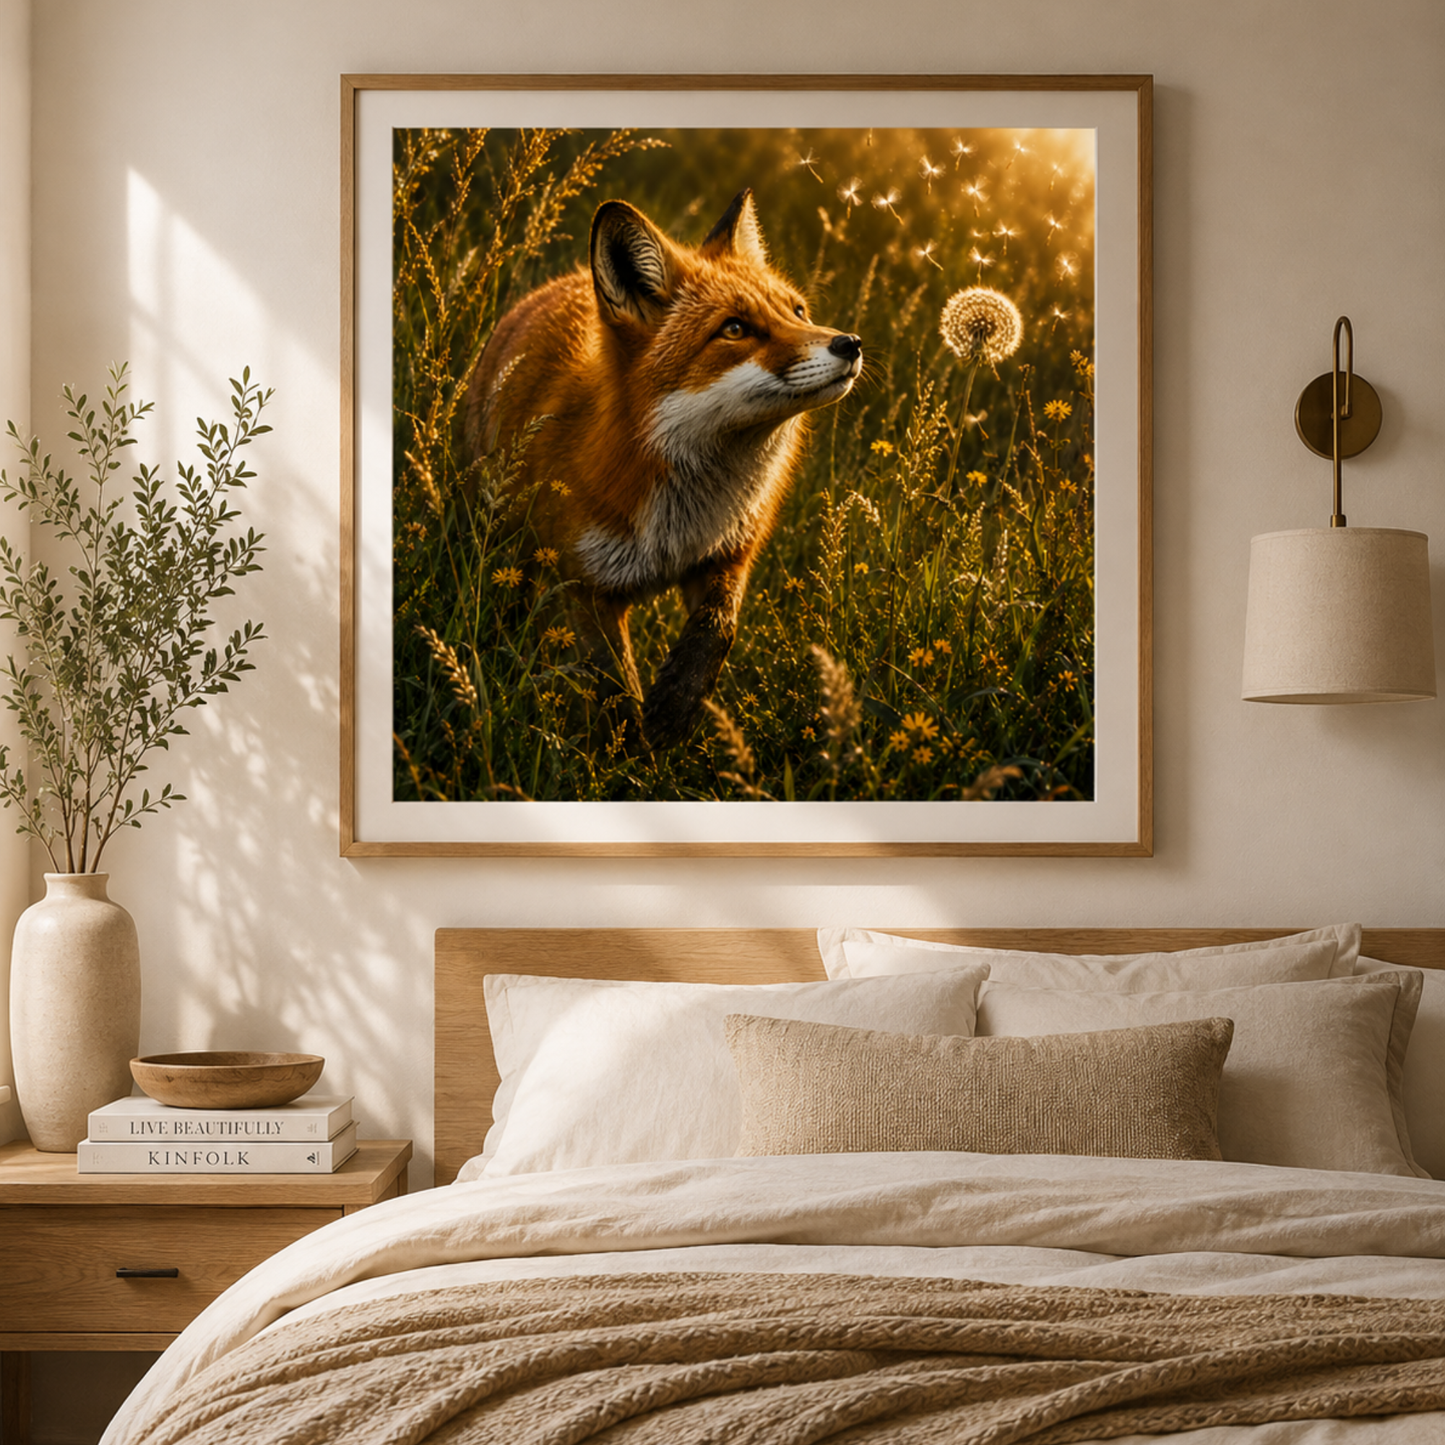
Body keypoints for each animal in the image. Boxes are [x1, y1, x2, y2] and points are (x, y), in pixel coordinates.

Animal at [463, 188, 863, 749]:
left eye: (799, 311)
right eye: (735, 329)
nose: (850, 343)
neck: (681, 521)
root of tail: (557, 284)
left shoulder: (727, 556)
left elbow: (717, 631)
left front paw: (676, 706)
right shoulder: (587, 585)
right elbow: (616, 685)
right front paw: (630, 753)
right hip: (505, 545)